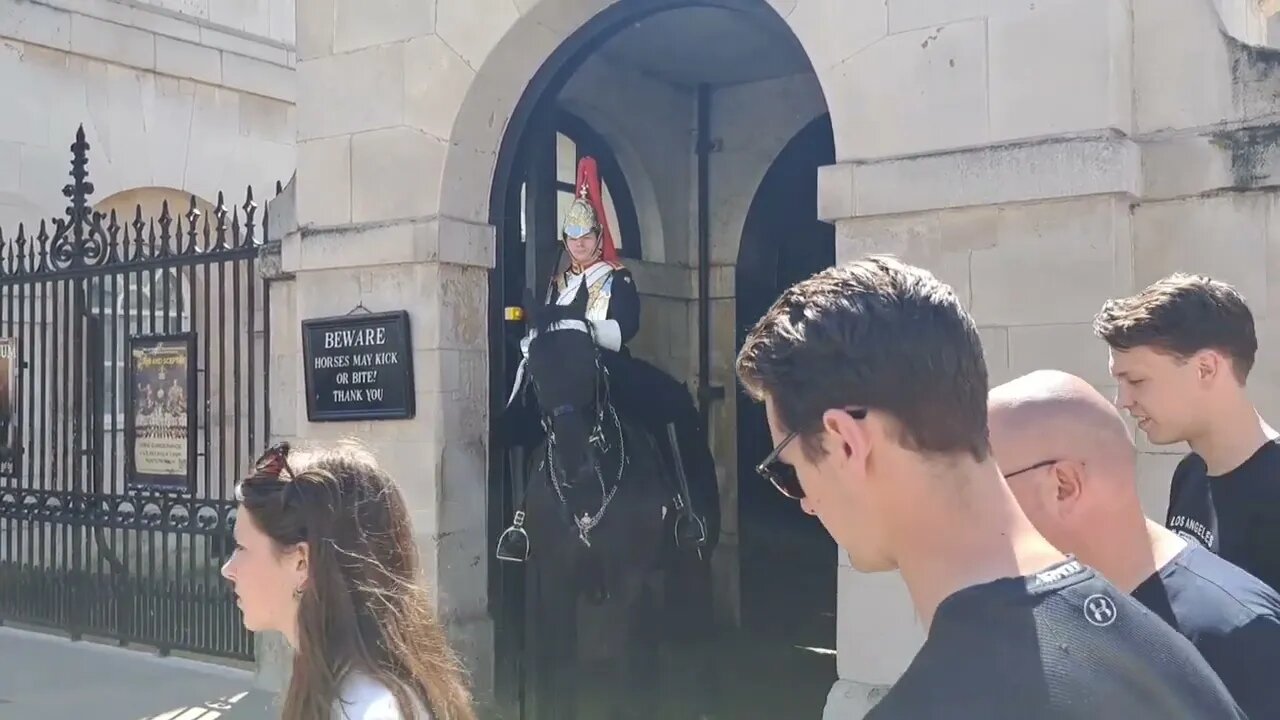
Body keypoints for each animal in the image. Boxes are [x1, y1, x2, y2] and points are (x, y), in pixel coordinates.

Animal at [512, 283, 721, 712]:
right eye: (535, 372)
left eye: (590, 361)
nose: (574, 464)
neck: (587, 496)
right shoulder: (556, 581)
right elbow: (564, 675)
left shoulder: (627, 582)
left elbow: (626, 679)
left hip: (692, 565)